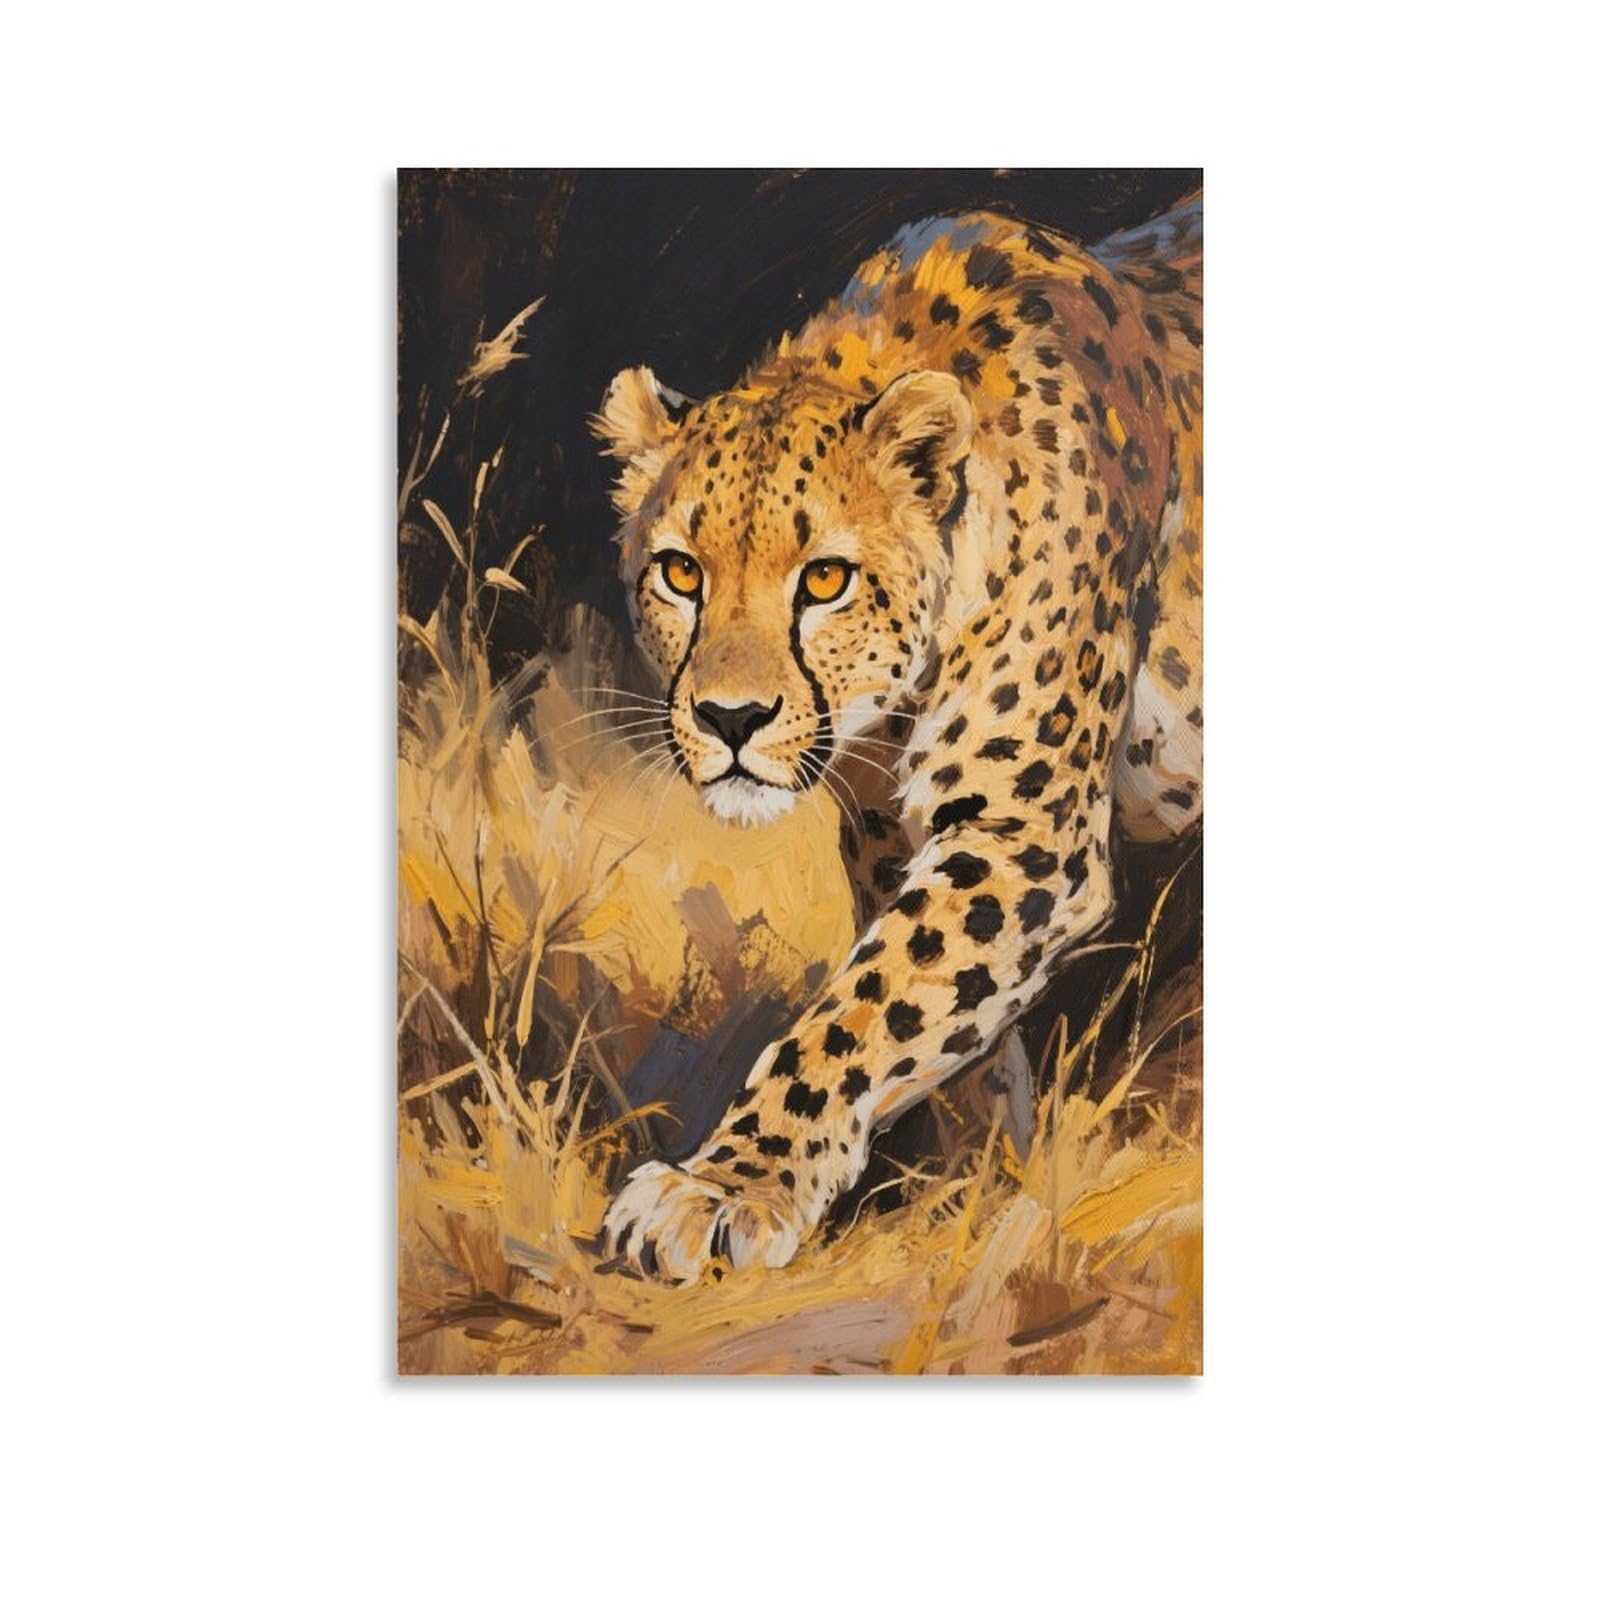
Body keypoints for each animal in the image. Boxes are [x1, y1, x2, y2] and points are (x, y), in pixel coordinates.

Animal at [593, 196, 1202, 1280]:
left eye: (825, 580)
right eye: (679, 572)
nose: (730, 719)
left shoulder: (1022, 836)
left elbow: (859, 1012)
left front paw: (726, 1187)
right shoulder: (887, 837)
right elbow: (930, 1013)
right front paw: (973, 1182)